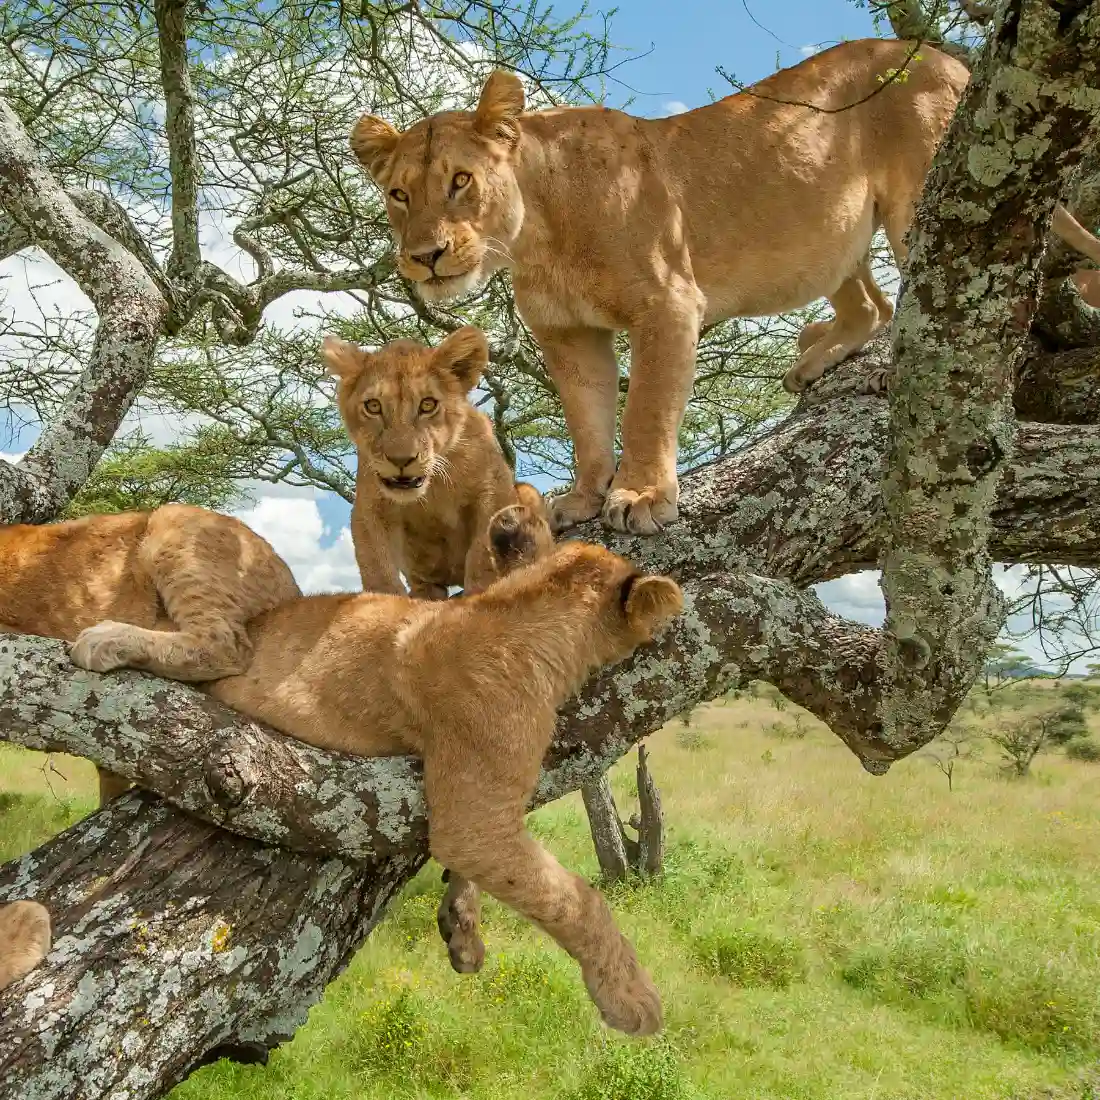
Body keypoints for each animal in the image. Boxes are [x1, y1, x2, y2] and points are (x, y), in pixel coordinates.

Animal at [0, 504, 682, 1035]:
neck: (520, 610)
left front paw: (462, 927)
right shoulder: (475, 812)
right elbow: (574, 897)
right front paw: (633, 999)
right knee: (217, 645)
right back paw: (105, 640)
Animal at [324, 325, 551, 598]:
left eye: (427, 404)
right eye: (373, 406)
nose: (401, 459)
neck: (433, 487)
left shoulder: (494, 488)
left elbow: (481, 555)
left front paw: (482, 593)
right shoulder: (369, 506)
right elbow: (376, 567)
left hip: (526, 492)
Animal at [349, 38, 1100, 537]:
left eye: (460, 181)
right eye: (398, 194)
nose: (424, 257)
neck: (536, 234)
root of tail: (945, 56)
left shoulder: (667, 303)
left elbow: (646, 409)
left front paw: (640, 497)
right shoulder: (568, 333)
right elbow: (587, 418)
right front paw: (586, 496)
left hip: (930, 201)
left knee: (955, 299)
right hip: (832, 239)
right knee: (873, 304)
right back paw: (818, 358)